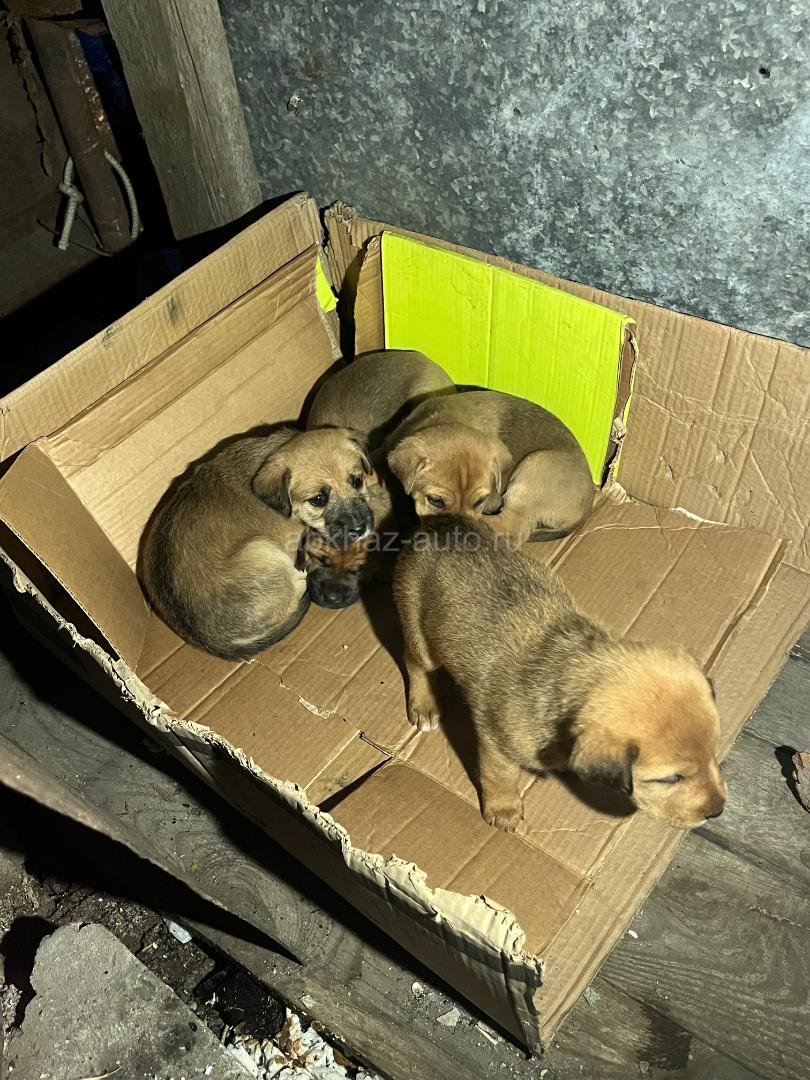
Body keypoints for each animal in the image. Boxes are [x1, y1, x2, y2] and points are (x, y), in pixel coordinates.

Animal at [393, 515, 726, 831]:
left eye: (714, 749)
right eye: (671, 778)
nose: (718, 811)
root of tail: (438, 522)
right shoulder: (497, 745)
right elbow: (500, 777)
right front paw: (504, 808)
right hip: (420, 634)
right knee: (413, 662)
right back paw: (424, 706)